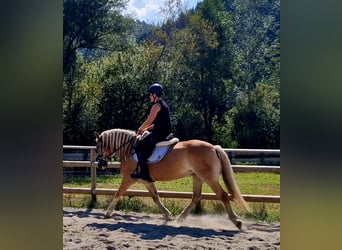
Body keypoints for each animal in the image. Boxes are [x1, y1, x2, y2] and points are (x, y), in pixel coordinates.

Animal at [95, 128, 250, 229]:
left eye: (98, 146)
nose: (101, 164)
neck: (129, 149)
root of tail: (213, 148)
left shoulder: (128, 178)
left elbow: (118, 193)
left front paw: (108, 213)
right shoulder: (146, 180)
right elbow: (155, 197)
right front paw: (168, 215)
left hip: (209, 179)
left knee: (223, 195)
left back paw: (236, 222)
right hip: (197, 177)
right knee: (196, 197)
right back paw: (180, 218)